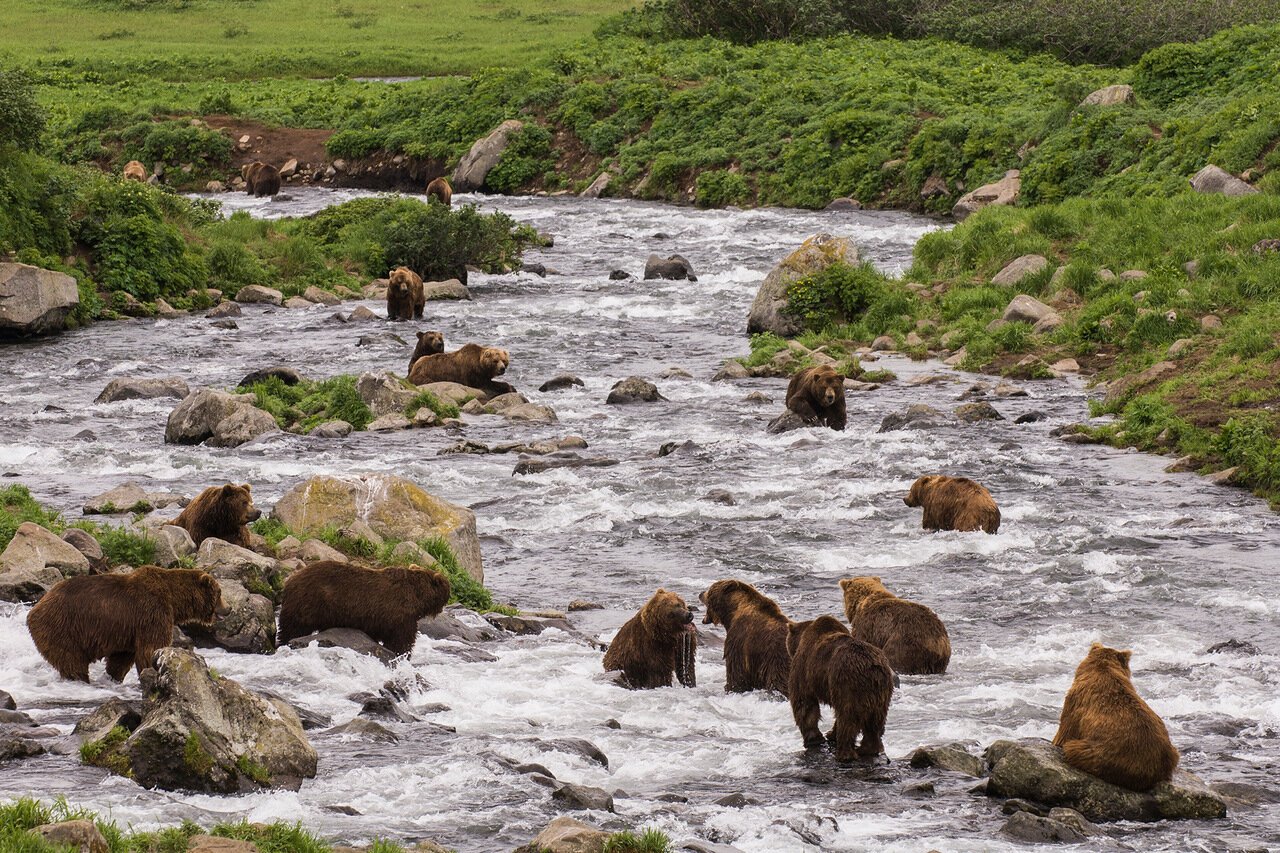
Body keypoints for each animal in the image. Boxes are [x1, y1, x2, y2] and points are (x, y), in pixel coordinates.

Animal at [275, 560, 450, 653]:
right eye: (447, 590)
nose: (444, 605)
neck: (417, 598)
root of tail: (289, 581)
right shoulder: (399, 616)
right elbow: (400, 642)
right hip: (307, 603)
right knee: (293, 628)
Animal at [783, 612, 896, 758]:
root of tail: (872, 668)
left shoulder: (803, 667)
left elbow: (804, 702)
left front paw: (814, 739)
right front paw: (829, 734)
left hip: (847, 684)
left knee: (847, 718)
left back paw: (845, 754)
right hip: (881, 693)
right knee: (874, 723)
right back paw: (867, 749)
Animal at [1049, 640, 1177, 788]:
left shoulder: (1076, 702)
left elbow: (1065, 732)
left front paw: (1056, 741)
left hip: (1106, 753)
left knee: (1074, 748)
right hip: (1171, 751)